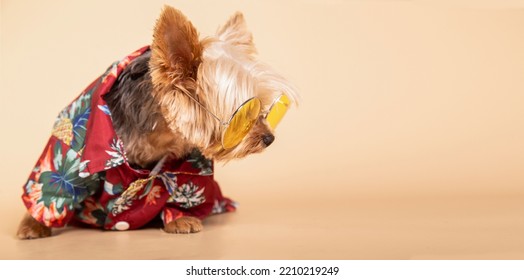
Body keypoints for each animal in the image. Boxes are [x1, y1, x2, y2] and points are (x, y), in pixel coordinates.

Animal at [16, 5, 298, 240]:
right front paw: (34, 224)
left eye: (265, 108)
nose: (269, 138)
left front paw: (180, 218)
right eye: (243, 115)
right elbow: (52, 191)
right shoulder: (72, 152)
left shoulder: (190, 168)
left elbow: (185, 189)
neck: (160, 133)